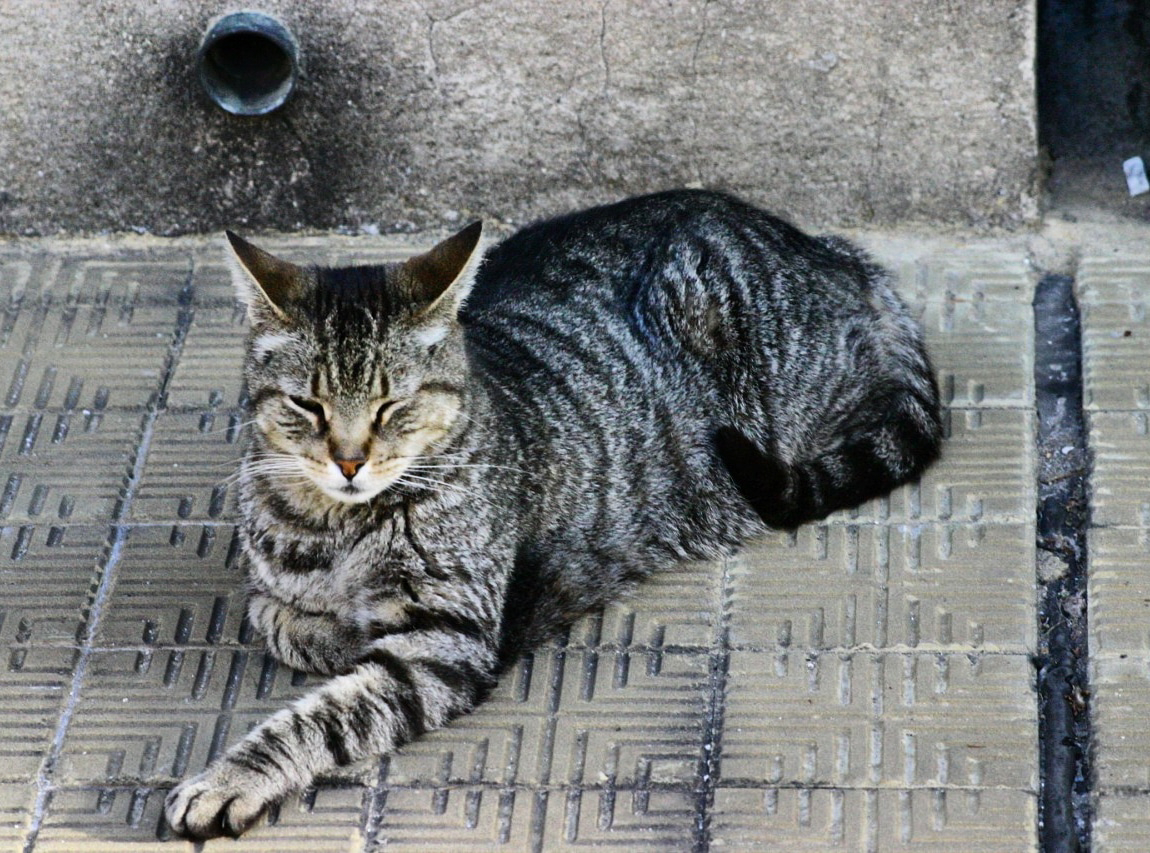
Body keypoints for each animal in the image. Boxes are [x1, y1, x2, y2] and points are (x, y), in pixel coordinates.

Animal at [164, 189, 942, 838]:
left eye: (391, 406)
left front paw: (230, 778)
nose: (350, 461)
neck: (334, 530)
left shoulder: (444, 644)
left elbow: (321, 716)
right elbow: (273, 618)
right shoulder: (280, 590)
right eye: (308, 406)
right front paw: (333, 633)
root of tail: (828, 247)